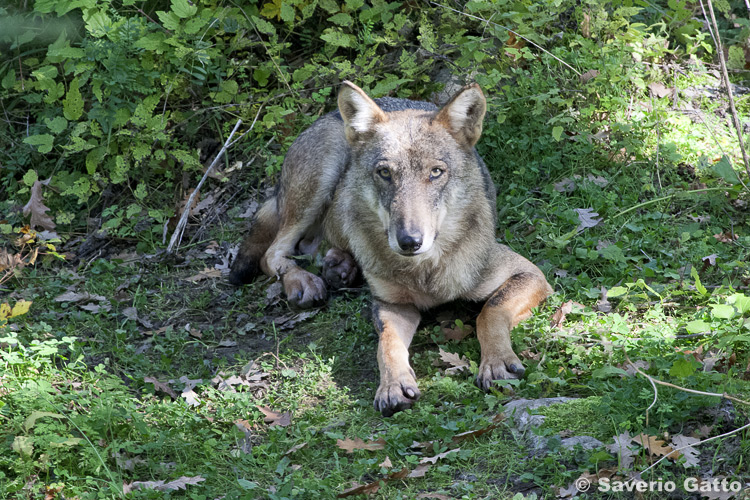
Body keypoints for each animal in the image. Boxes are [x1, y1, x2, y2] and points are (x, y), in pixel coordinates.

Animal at [232, 82, 556, 416]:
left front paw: (496, 364)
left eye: (436, 172)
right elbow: (387, 344)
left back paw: (340, 268)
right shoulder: (391, 306)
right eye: (385, 173)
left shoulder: (529, 274)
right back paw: (306, 280)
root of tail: (328, 115)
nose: (409, 240)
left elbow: (490, 312)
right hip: (318, 184)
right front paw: (393, 385)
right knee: (274, 254)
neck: (425, 273)